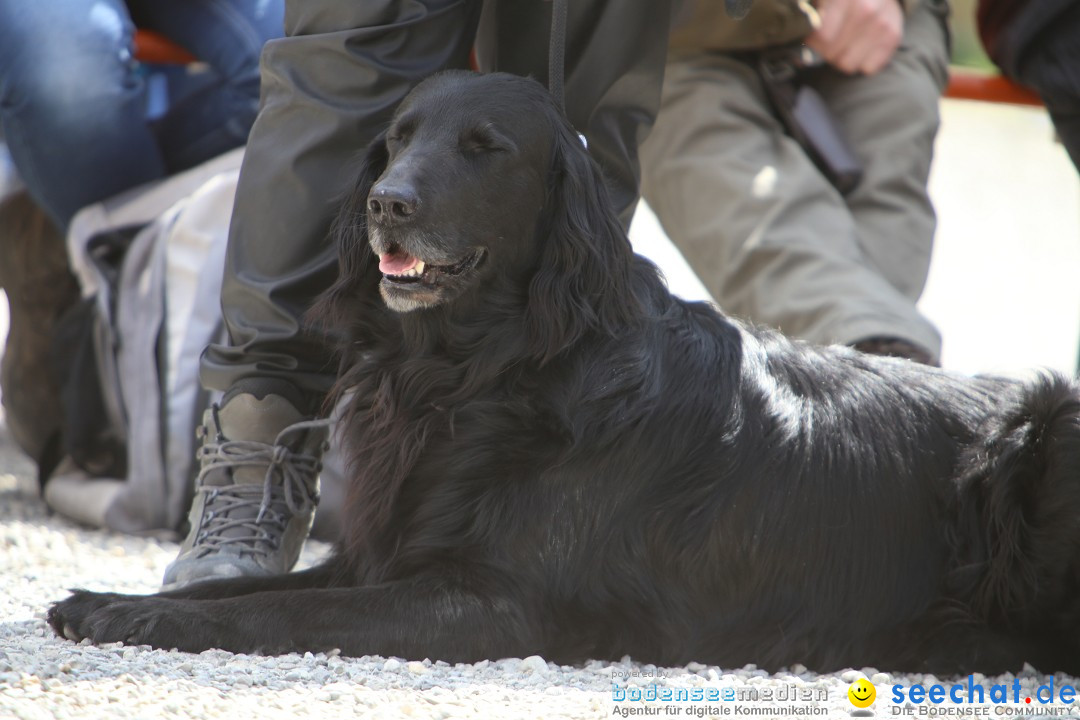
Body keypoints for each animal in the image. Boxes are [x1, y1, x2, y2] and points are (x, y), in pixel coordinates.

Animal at [48, 71, 1080, 677]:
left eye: (485, 149)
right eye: (398, 137)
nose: (386, 202)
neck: (478, 374)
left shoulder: (490, 604)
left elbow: (279, 616)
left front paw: (141, 623)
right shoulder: (381, 553)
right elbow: (236, 593)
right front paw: (113, 602)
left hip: (1050, 434)